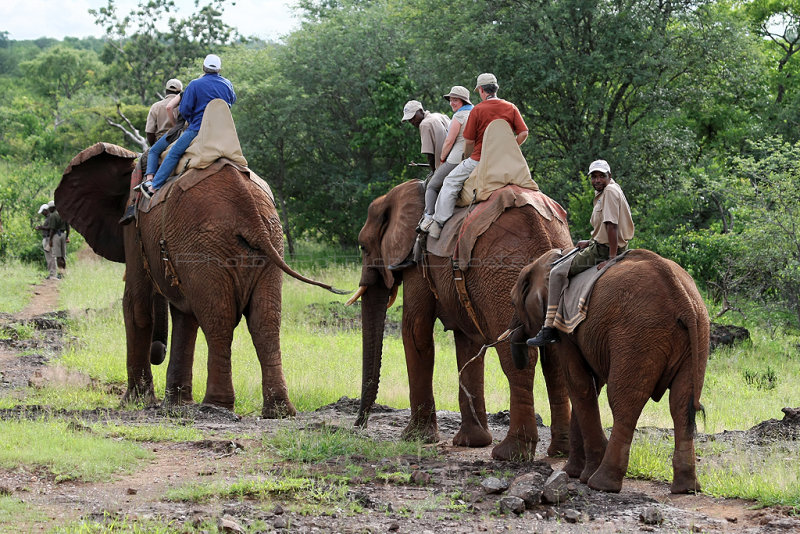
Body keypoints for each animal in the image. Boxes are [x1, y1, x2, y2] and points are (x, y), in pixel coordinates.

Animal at [56, 142, 344, 418]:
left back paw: (215, 407)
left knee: (219, 318)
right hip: (266, 240)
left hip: (206, 245)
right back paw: (279, 412)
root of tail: (246, 201)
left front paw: (135, 402)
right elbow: (185, 315)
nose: (157, 352)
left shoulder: (133, 225)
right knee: (265, 320)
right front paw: (174, 406)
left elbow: (137, 305)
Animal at [350, 181, 576, 460]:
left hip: (503, 277)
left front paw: (415, 438)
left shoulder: (417, 259)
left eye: (363, 247)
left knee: (518, 356)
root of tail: (546, 235)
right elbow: (468, 342)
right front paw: (472, 442)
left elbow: (415, 331)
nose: (358, 427)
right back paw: (560, 452)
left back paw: (510, 453)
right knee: (554, 358)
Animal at [510, 249, 708, 496]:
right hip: (697, 334)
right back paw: (686, 489)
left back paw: (601, 484)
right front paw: (574, 473)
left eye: (513, 302)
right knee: (681, 404)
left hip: (637, 336)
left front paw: (579, 474)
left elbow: (579, 384)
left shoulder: (564, 326)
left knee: (624, 402)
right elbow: (591, 386)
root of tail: (683, 300)